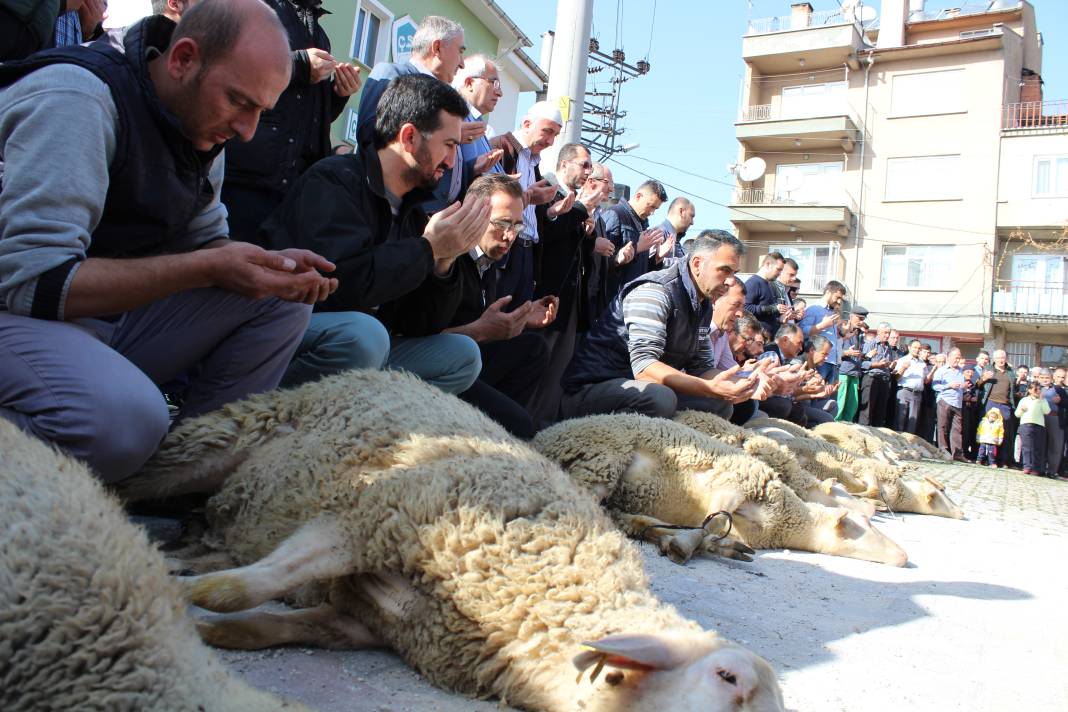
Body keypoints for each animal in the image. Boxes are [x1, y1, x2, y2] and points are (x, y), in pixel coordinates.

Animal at [119, 371, 786, 712]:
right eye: (729, 680)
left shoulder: (359, 620)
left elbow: (264, 626)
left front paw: (207, 630)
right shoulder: (376, 513)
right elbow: (252, 586)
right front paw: (193, 601)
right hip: (219, 437)